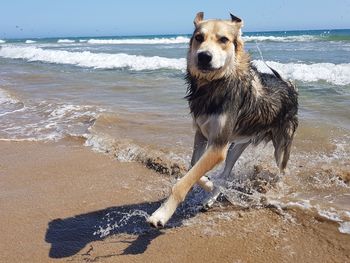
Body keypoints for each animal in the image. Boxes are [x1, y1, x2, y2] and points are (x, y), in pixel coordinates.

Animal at [148, 11, 298, 229]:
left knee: (281, 171)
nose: (203, 56)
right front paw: (210, 184)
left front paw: (162, 213)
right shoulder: (201, 134)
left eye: (224, 40)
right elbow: (193, 167)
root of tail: (290, 86)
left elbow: (184, 181)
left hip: (281, 147)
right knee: (226, 173)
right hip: (237, 145)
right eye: (198, 37)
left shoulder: (218, 145)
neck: (214, 85)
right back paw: (212, 196)